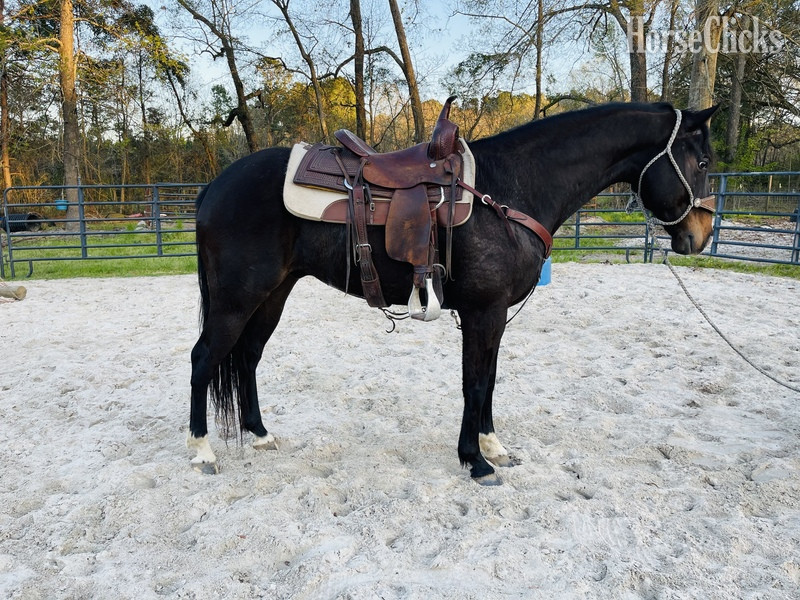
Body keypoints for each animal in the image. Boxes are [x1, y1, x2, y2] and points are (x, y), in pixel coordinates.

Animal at [187, 101, 718, 485]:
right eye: (703, 161)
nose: (701, 235)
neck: (511, 190)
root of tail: (214, 185)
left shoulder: (495, 315)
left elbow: (490, 380)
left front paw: (493, 447)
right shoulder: (484, 311)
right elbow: (475, 383)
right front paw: (475, 461)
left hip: (272, 294)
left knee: (248, 356)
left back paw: (260, 434)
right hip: (237, 299)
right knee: (204, 359)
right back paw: (202, 451)